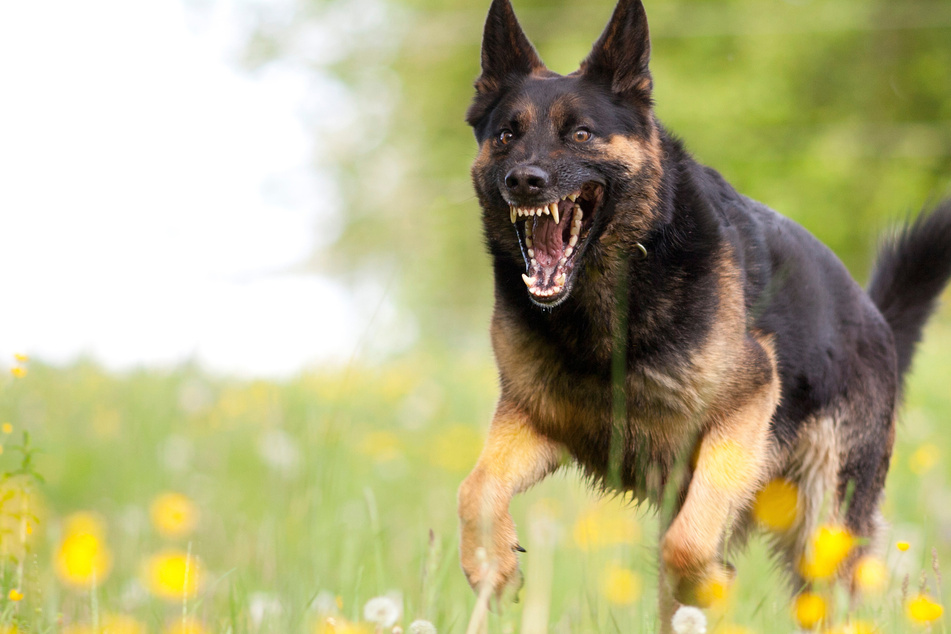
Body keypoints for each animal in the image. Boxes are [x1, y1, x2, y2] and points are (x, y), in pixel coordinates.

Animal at [458, 0, 951, 624]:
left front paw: (711, 583)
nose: (525, 180)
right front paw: (492, 567)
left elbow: (689, 546)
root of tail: (876, 319)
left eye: (581, 134)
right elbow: (474, 490)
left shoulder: (743, 409)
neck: (611, 303)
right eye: (506, 135)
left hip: (822, 530)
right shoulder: (536, 419)